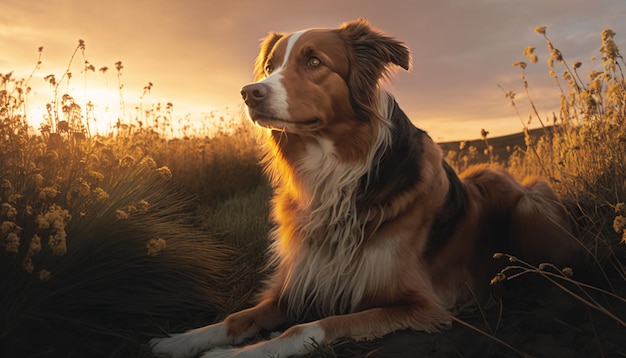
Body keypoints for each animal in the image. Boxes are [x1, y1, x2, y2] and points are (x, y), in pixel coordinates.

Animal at [149, 18, 576, 358]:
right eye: (271, 66)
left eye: (314, 61)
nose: (249, 92)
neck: (335, 175)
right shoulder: (297, 284)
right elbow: (237, 317)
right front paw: (180, 340)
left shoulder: (421, 305)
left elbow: (307, 327)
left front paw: (235, 354)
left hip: (521, 196)